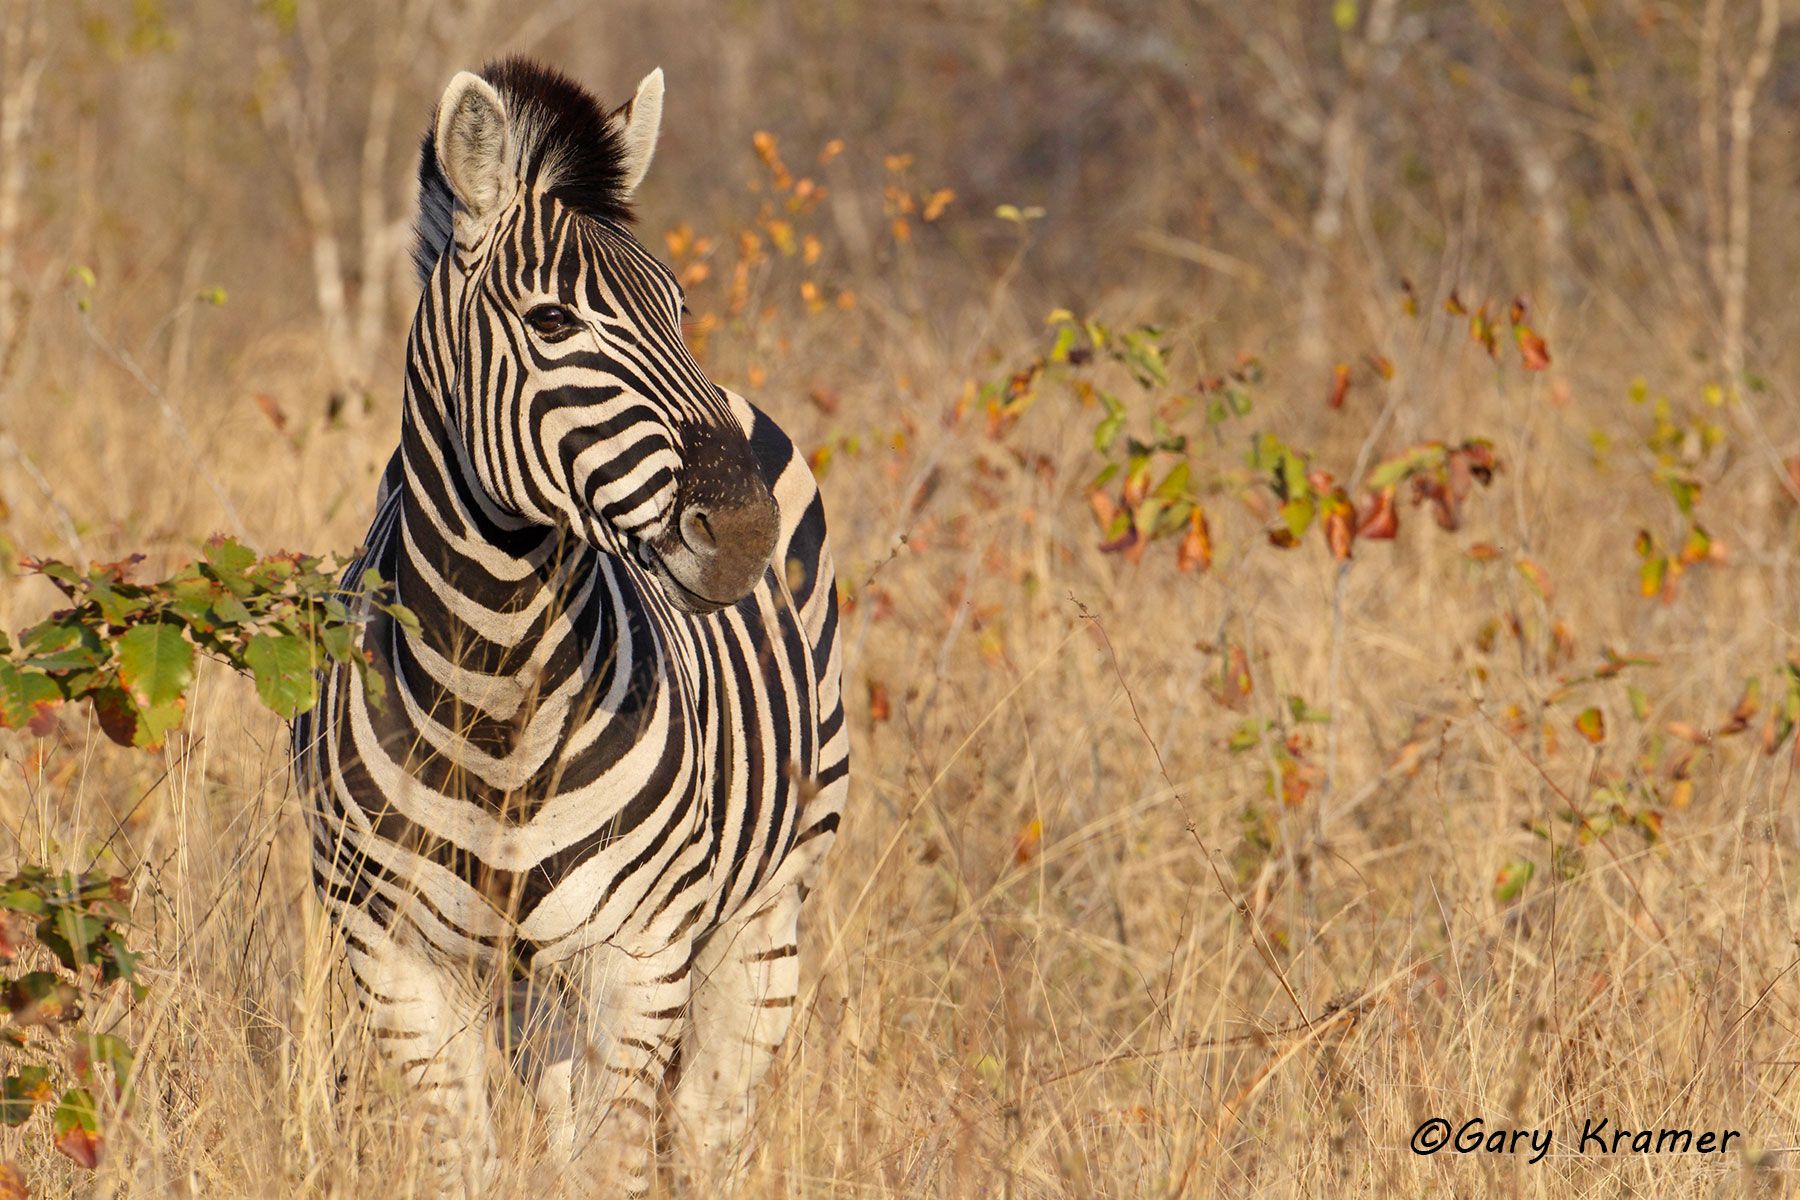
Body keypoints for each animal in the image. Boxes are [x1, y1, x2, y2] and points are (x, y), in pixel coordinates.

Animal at [290, 57, 847, 1193]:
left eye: (679, 307)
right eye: (551, 324)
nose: (745, 532)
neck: (496, 689)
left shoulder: (638, 956)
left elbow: (617, 1163)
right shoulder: (395, 961)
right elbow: (465, 1160)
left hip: (771, 906)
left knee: (710, 1124)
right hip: (526, 985)